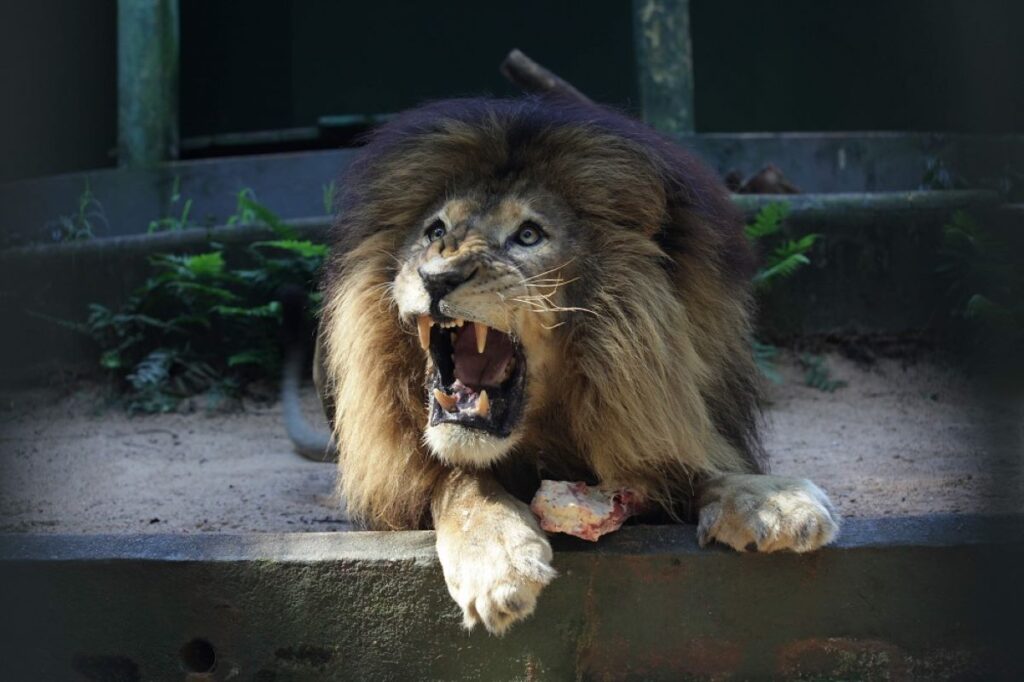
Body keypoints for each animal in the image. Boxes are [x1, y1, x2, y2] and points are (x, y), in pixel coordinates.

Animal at [313, 96, 839, 634]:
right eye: (435, 231)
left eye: (528, 235)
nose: (436, 277)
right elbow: (459, 480)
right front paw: (498, 557)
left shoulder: (653, 434)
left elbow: (697, 470)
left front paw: (774, 501)